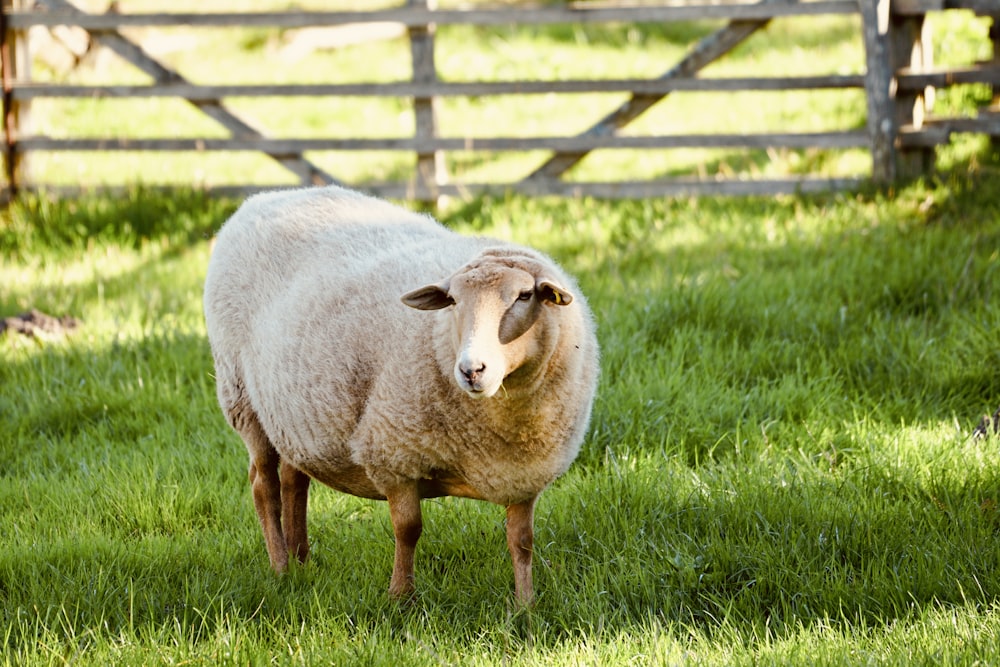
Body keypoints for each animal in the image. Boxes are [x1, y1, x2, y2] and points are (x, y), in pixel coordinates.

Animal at [199, 184, 596, 604]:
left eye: (524, 296)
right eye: (452, 301)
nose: (471, 369)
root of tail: (267, 197)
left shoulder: (523, 477)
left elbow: (522, 541)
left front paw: (525, 605)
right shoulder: (393, 453)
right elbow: (408, 529)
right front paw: (400, 596)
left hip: (292, 413)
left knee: (295, 480)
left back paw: (302, 561)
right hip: (242, 398)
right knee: (264, 487)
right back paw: (280, 568)